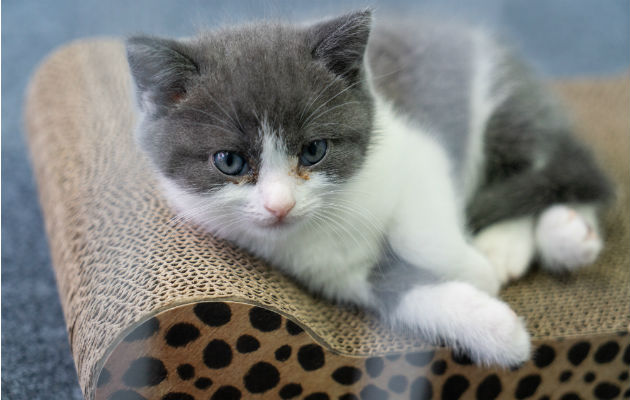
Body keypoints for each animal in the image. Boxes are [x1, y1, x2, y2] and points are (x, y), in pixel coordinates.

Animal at [126, 9, 616, 368]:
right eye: (229, 162)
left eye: (314, 150)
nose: (280, 205)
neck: (335, 216)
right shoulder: (330, 271)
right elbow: (399, 292)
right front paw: (498, 331)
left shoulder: (417, 150)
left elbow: (420, 232)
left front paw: (477, 268)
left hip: (503, 108)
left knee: (560, 170)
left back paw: (541, 240)